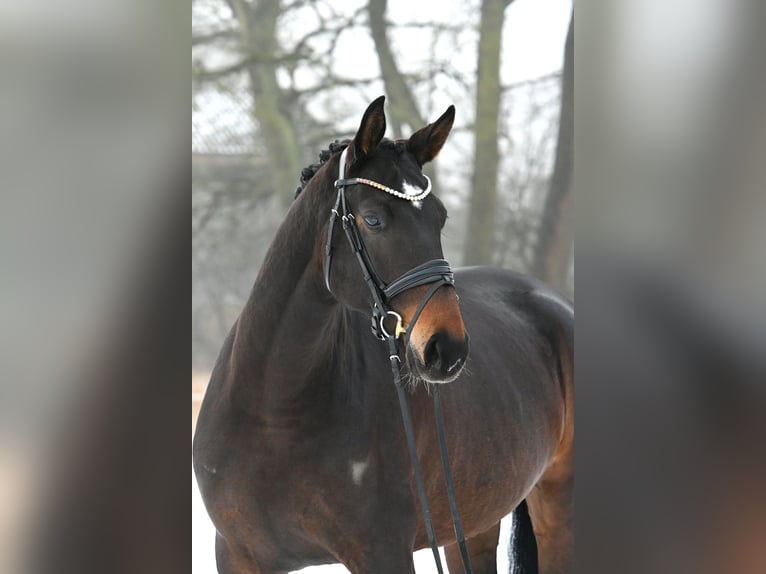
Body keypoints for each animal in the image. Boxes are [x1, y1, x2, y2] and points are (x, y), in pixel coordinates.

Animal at [193, 96, 574, 574]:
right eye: (373, 220)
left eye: (440, 217)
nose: (447, 349)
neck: (274, 409)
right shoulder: (237, 554)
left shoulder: (382, 550)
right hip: (473, 522)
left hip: (556, 508)